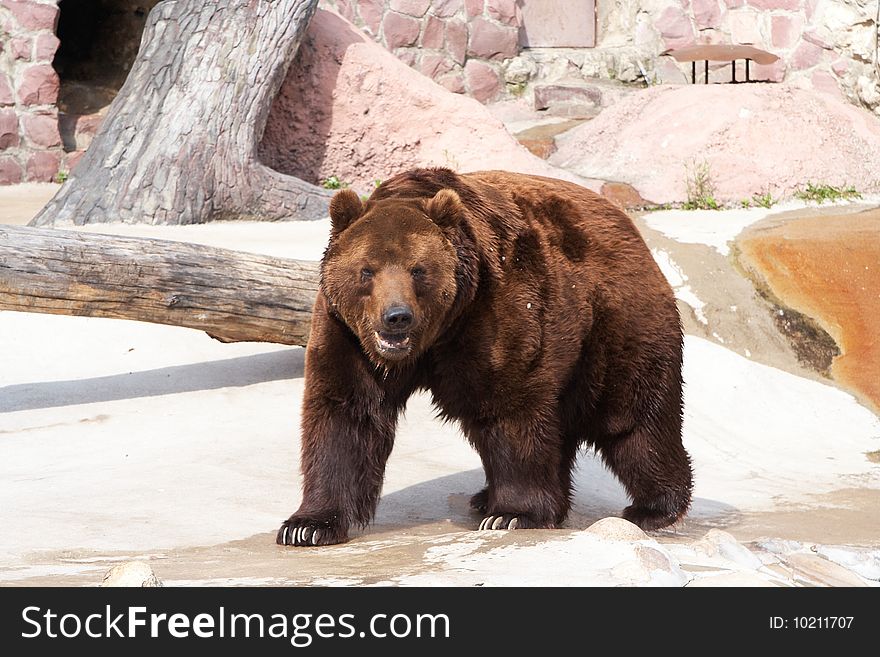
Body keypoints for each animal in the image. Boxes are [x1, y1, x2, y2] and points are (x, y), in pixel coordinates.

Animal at [278, 167, 692, 544]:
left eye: (418, 270)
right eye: (367, 270)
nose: (396, 316)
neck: (436, 335)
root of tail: (631, 229)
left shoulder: (497, 310)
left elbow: (511, 409)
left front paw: (512, 515)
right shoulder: (347, 333)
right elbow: (345, 412)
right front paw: (307, 525)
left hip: (614, 326)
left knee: (633, 420)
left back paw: (654, 508)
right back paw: (490, 497)